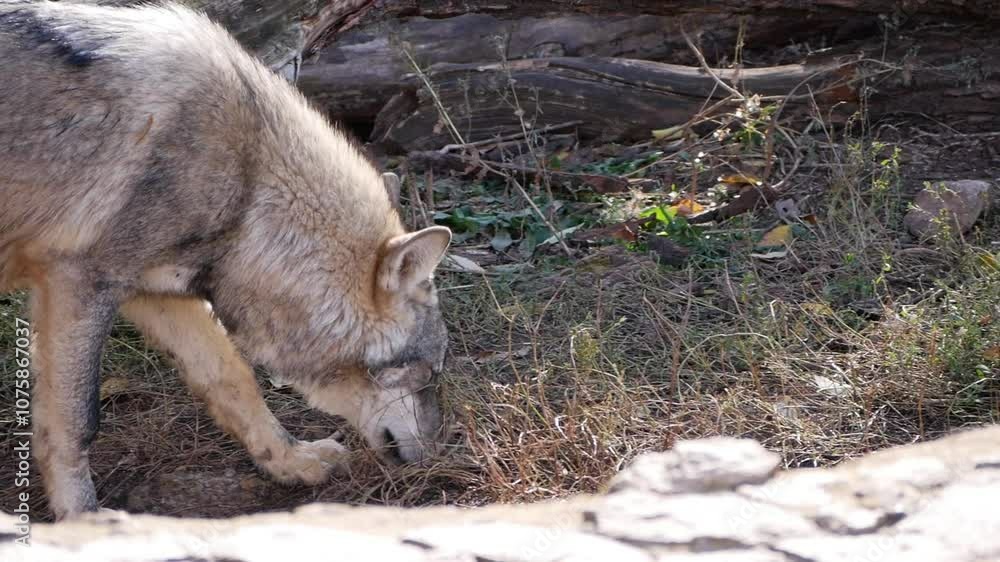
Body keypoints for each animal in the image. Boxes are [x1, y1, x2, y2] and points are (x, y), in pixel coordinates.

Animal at [0, 1, 452, 520]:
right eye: (429, 375)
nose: (438, 454)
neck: (249, 187)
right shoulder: (77, 282)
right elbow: (78, 420)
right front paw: (84, 519)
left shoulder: (154, 293)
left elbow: (234, 380)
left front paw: (291, 460)